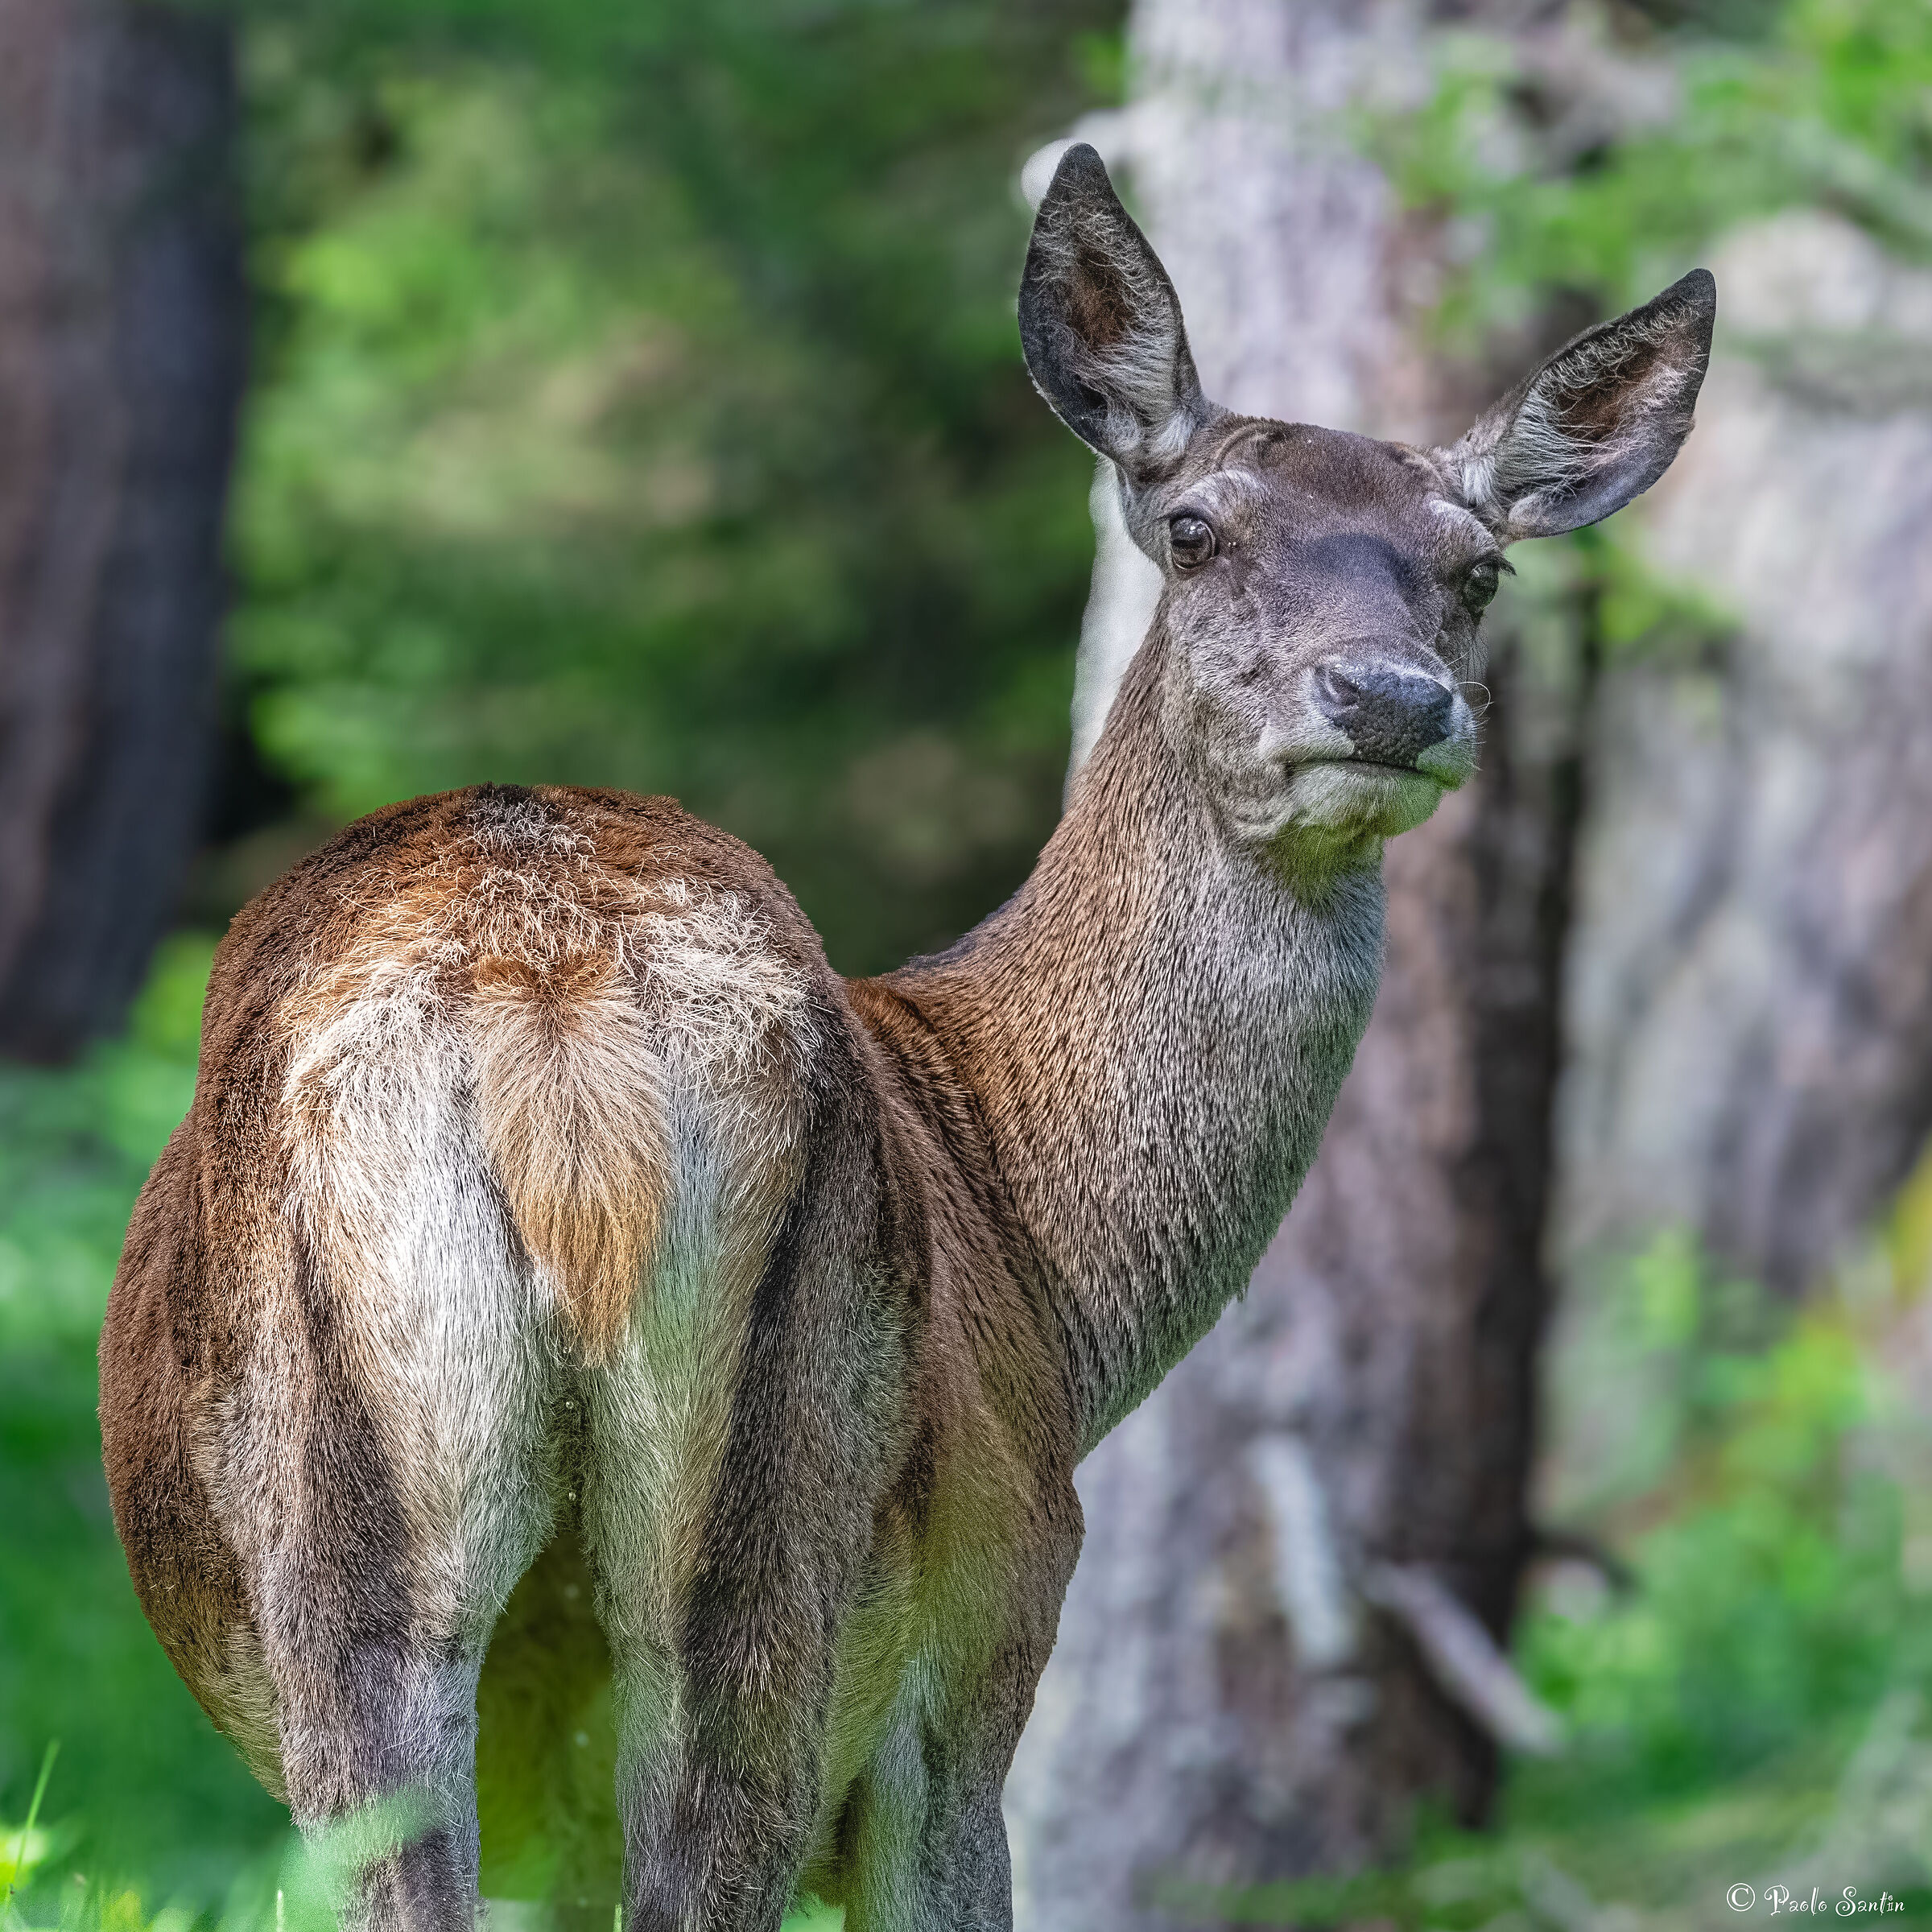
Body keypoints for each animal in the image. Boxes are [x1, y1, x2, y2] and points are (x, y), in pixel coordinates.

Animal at [99, 144, 1712, 1932]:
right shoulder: (986, 1637)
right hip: (784, 1545)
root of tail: (552, 1024)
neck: (1054, 1280)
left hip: (413, 1585)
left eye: (1479, 567)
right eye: (1196, 528)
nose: (1389, 699)